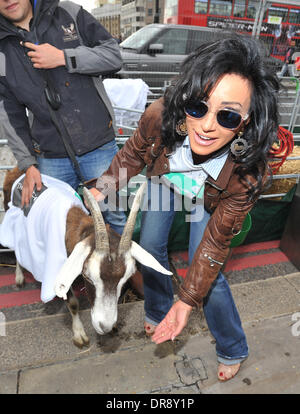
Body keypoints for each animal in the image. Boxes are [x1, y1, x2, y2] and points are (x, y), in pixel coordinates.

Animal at [2, 168, 172, 346]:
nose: (105, 326)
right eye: (88, 277)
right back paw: (19, 277)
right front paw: (79, 335)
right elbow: (72, 303)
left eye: (125, 280)